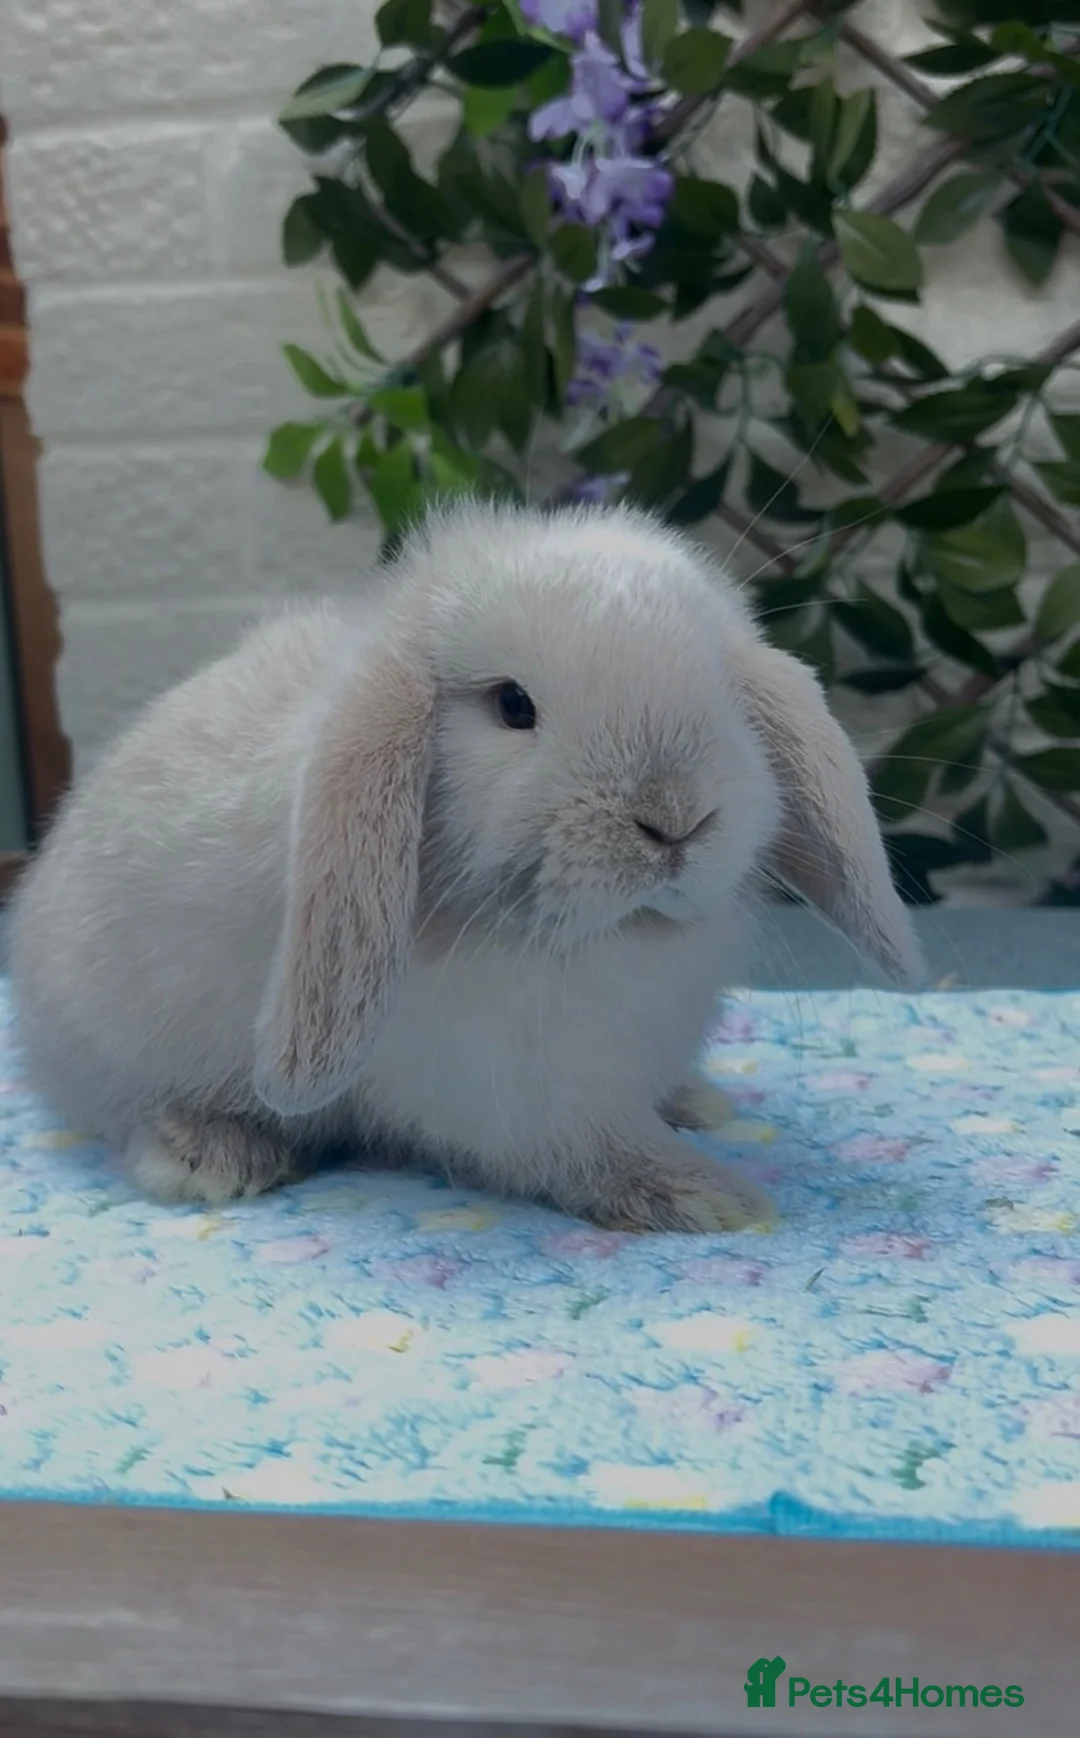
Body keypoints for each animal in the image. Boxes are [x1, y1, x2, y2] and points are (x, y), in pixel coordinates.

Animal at [9, 500, 923, 1234]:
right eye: (513, 706)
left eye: (727, 693)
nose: (675, 819)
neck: (599, 938)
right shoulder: (511, 1091)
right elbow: (591, 1149)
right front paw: (707, 1197)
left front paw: (693, 1119)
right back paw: (211, 1157)